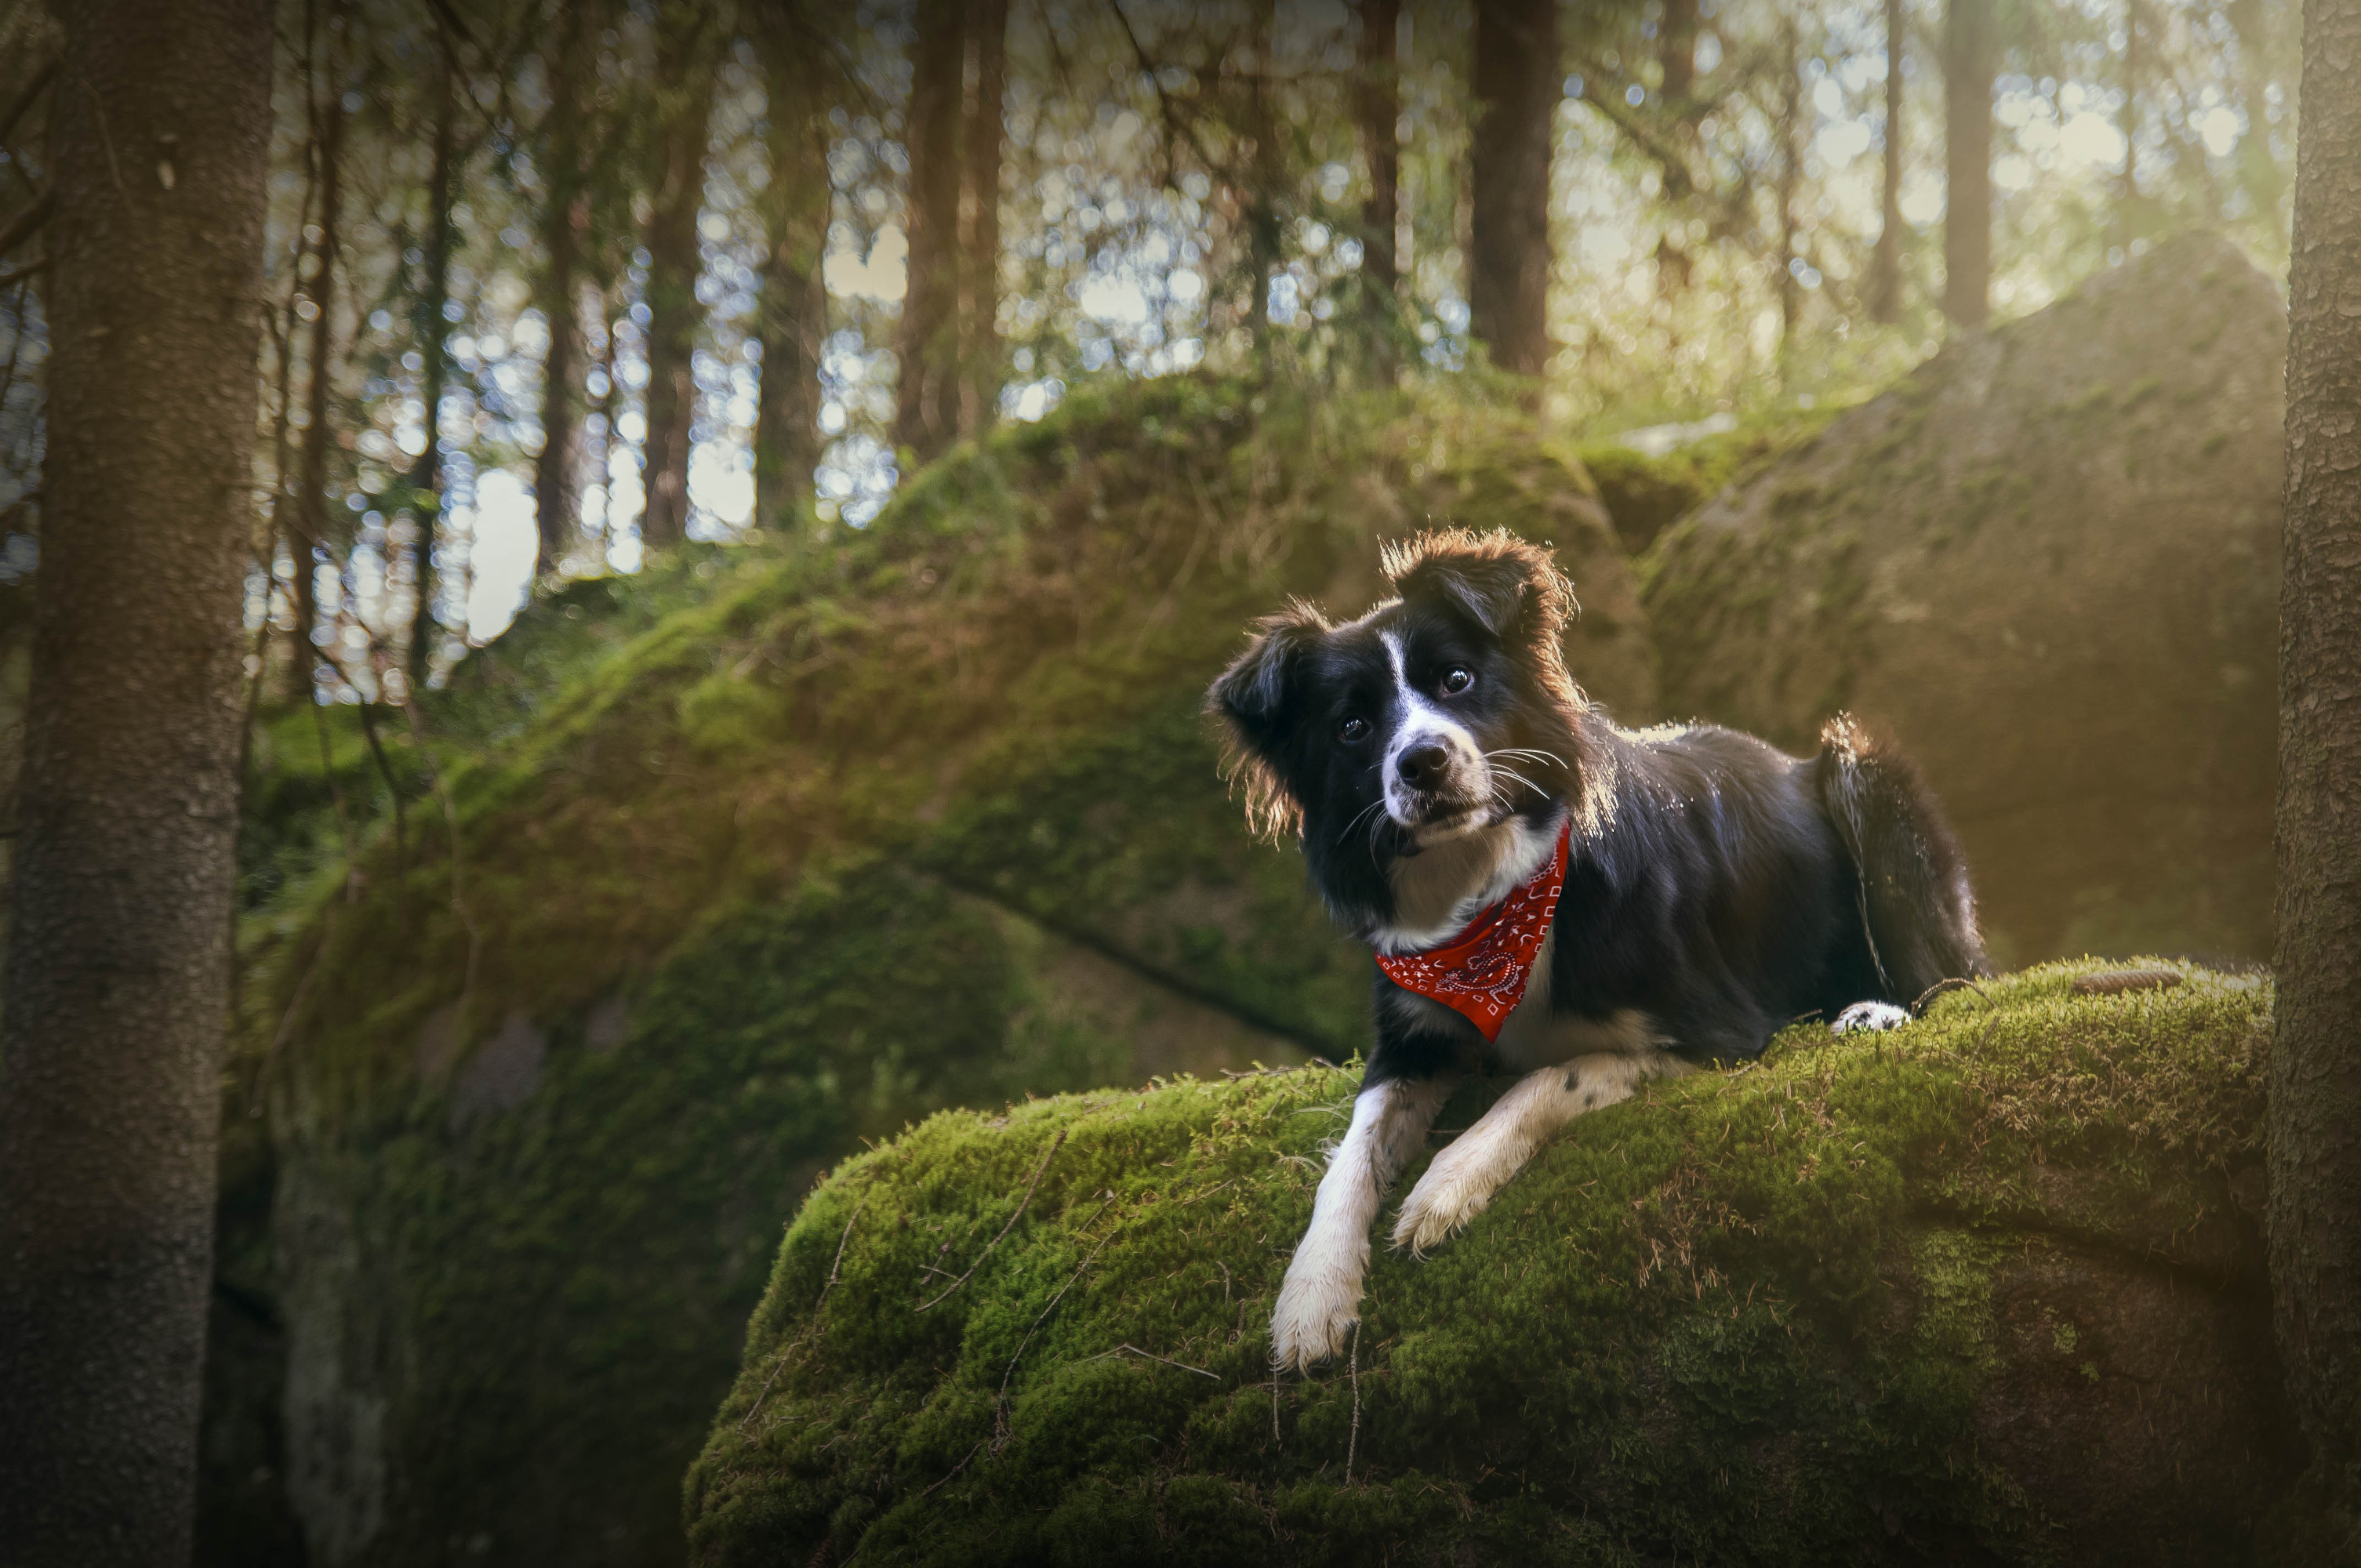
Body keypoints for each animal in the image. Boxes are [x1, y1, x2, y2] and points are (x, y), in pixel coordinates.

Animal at [1208, 528, 1983, 1369]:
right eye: (1351, 728)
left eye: (1456, 679)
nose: (1423, 761)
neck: (1493, 903)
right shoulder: (1412, 1034)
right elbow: (1352, 1154)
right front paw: (1311, 1295)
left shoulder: (1721, 1028)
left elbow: (1559, 1075)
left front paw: (1447, 1184)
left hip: (1863, 774)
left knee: (1954, 979)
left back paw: (1875, 1013)